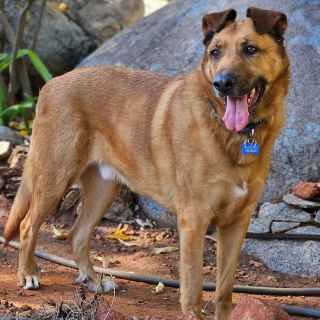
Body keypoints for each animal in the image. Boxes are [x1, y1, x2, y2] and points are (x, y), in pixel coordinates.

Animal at [2, 7, 288, 320]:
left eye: (250, 49)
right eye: (215, 52)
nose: (222, 84)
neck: (231, 134)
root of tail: (52, 83)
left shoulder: (237, 222)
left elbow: (224, 292)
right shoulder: (194, 219)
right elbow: (193, 288)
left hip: (103, 189)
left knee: (77, 235)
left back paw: (92, 280)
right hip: (56, 178)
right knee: (27, 225)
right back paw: (28, 274)